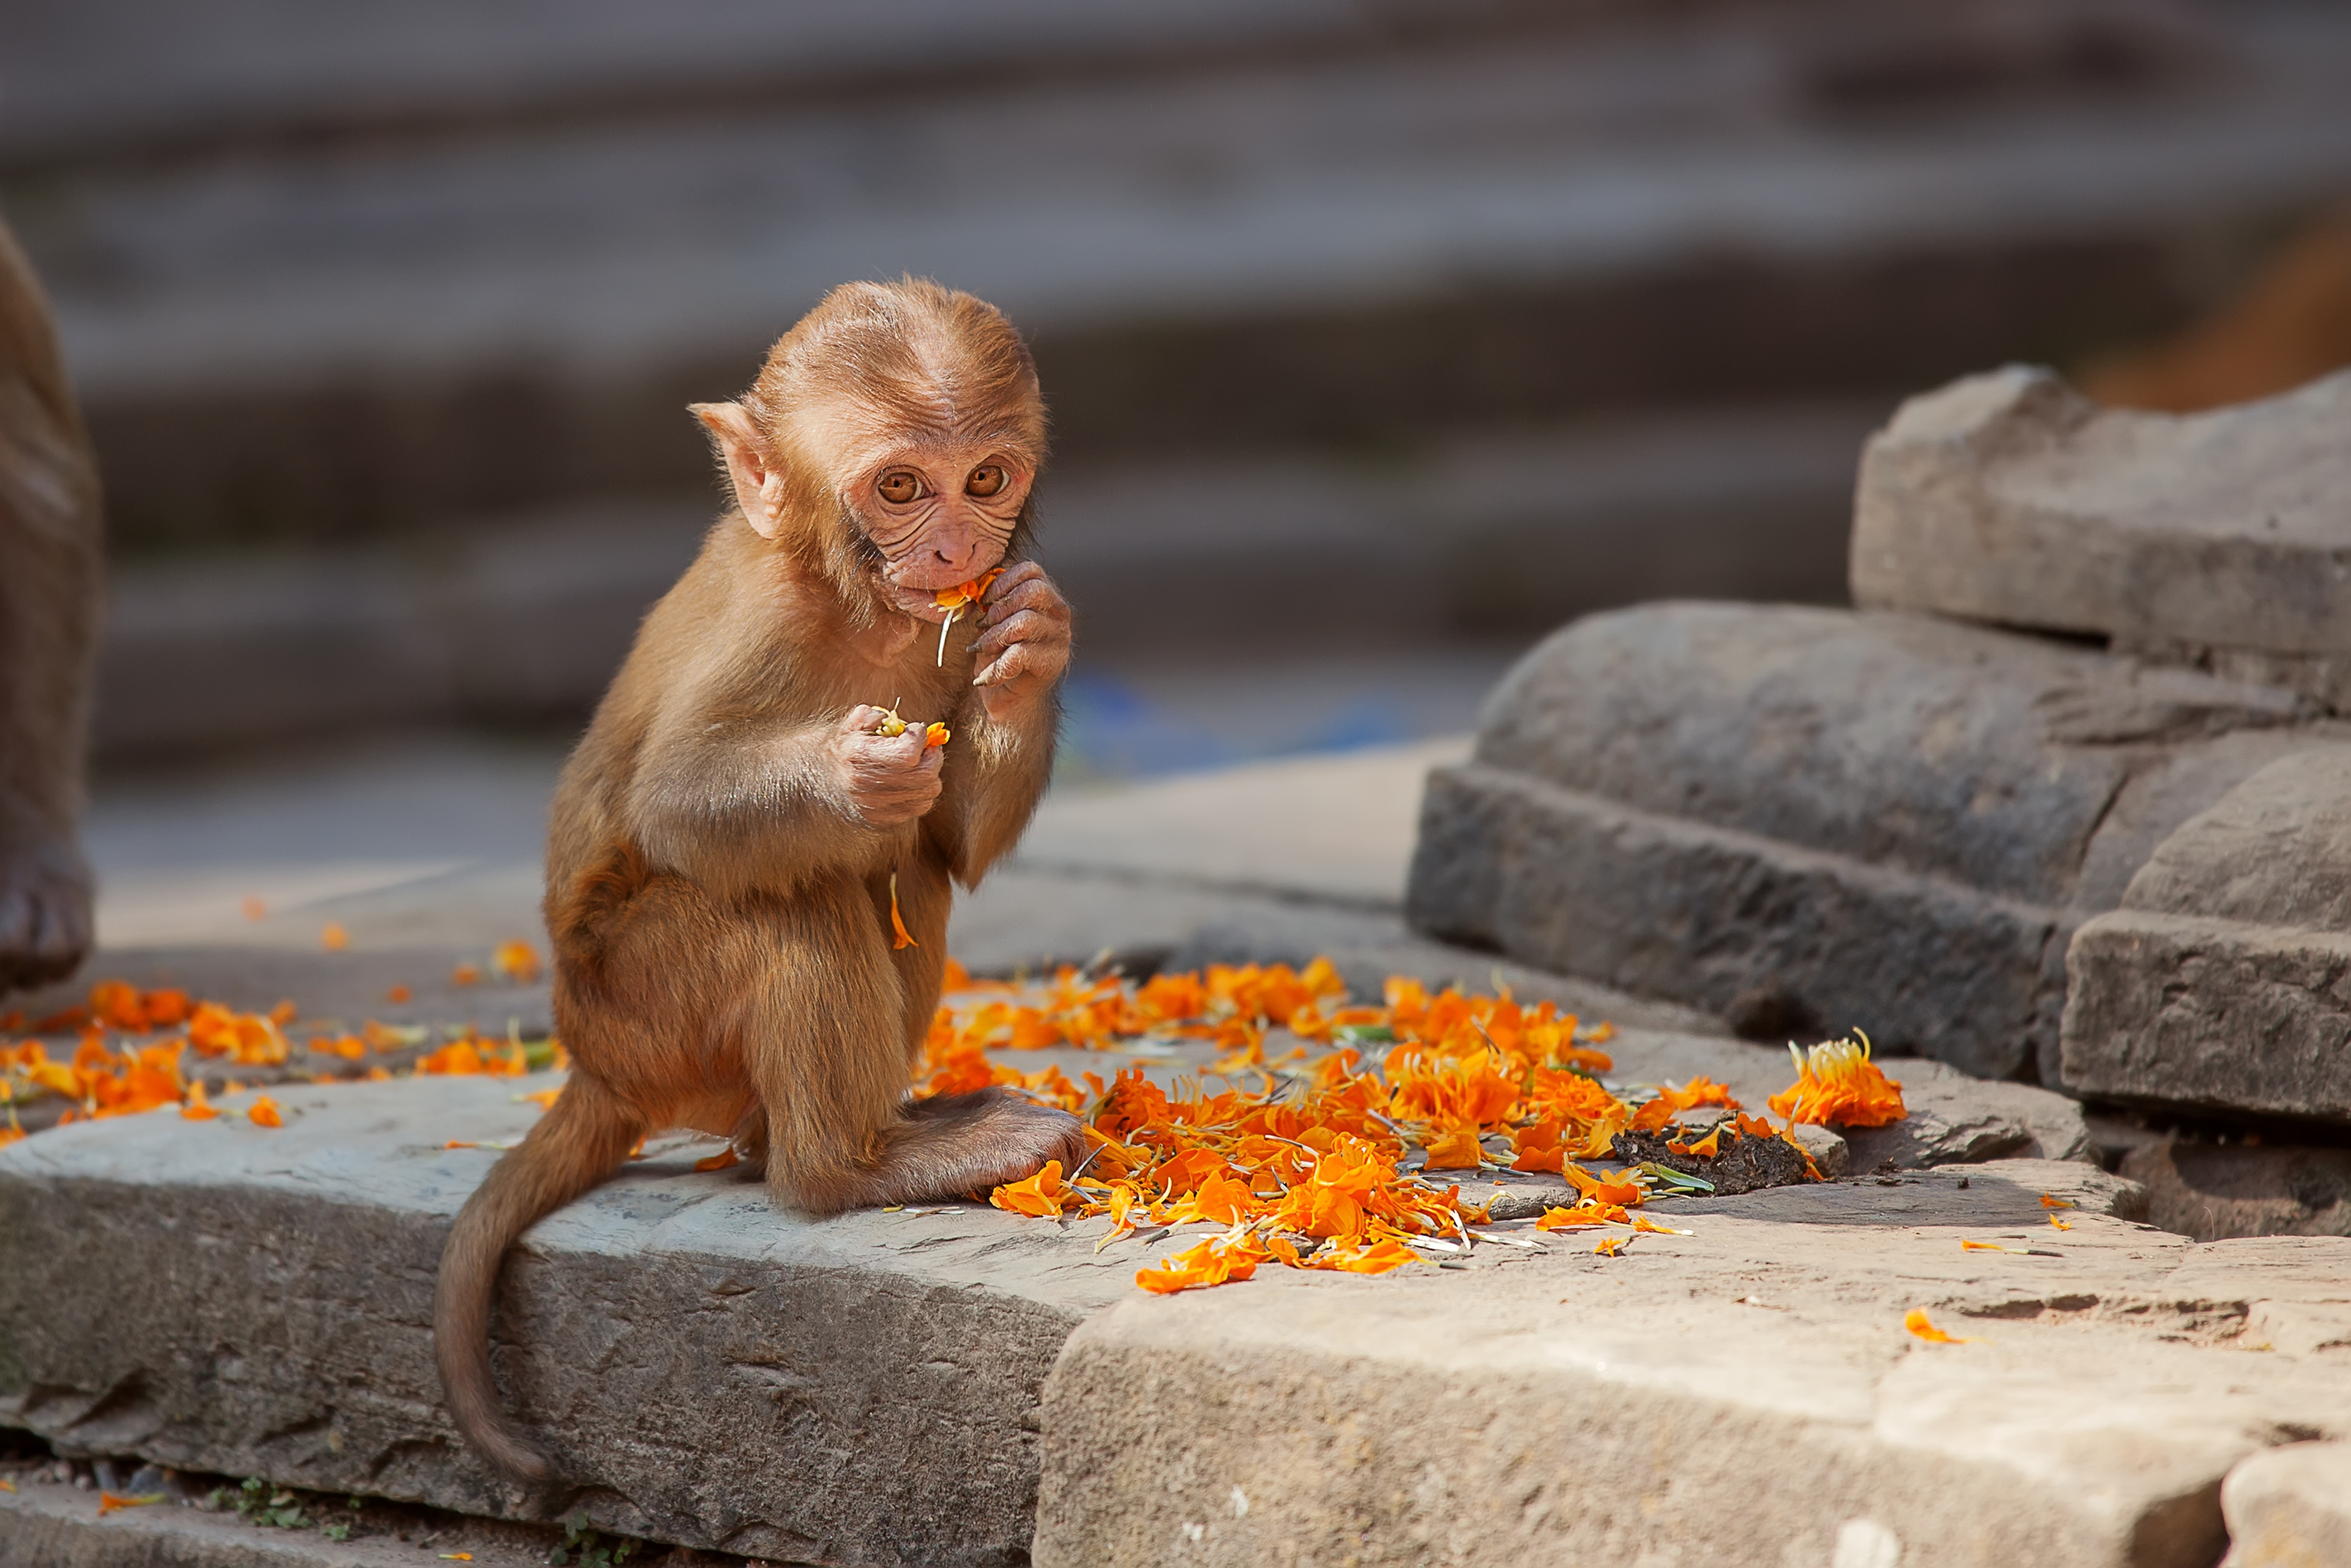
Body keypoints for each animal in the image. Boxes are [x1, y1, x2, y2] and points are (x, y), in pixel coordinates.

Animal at [440, 279, 1081, 1486]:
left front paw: (1034, 646)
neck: (854, 599)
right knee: (806, 898)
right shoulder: (762, 623)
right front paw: (852, 771)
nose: (959, 542)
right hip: (645, 1007)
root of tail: (597, 1067)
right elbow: (676, 800)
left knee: (905, 872)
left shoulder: (959, 617)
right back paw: (842, 1172)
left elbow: (953, 843)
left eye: (986, 477)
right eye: (901, 485)